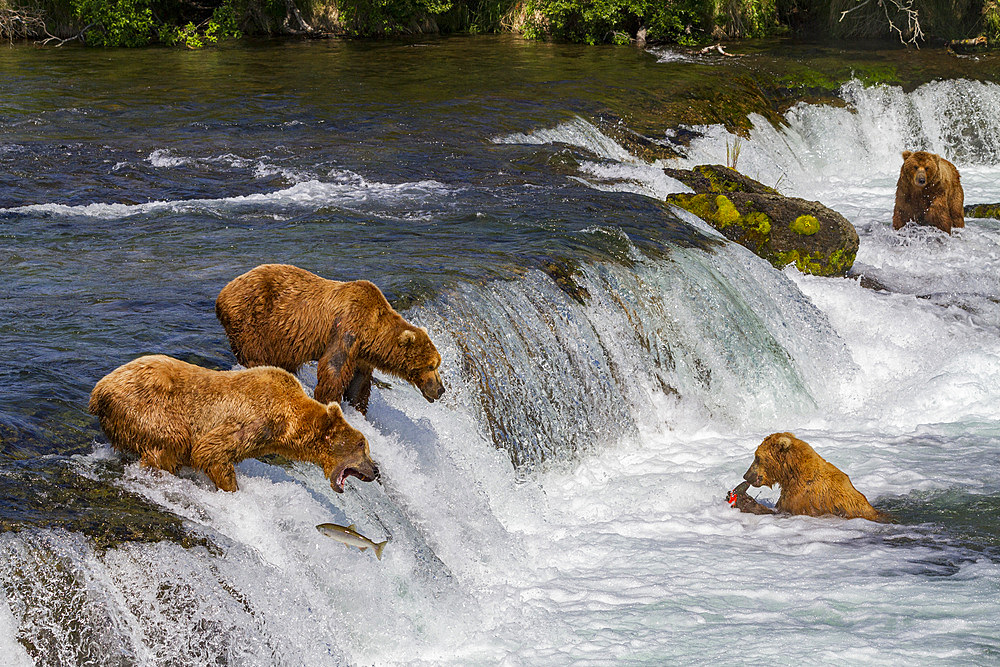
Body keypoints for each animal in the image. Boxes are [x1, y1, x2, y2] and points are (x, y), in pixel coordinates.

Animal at [88, 358, 378, 494]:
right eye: (362, 447)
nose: (376, 470)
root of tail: (98, 390)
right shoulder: (255, 419)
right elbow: (210, 450)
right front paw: (231, 488)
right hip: (148, 406)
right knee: (171, 440)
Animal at [216, 264, 446, 414]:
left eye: (437, 364)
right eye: (431, 365)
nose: (440, 390)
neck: (371, 332)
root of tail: (224, 291)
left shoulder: (362, 354)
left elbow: (359, 382)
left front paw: (357, 407)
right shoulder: (346, 329)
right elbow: (334, 369)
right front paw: (329, 401)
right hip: (252, 319)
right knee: (255, 353)